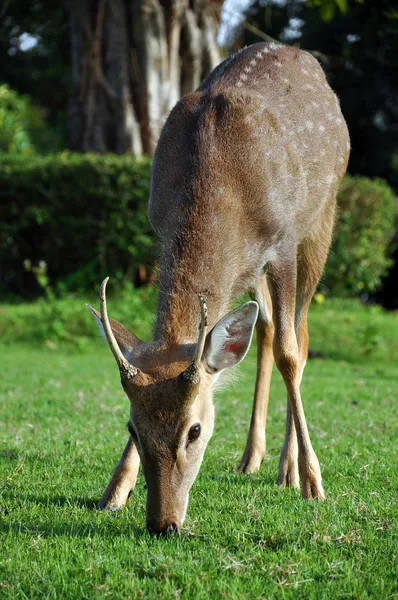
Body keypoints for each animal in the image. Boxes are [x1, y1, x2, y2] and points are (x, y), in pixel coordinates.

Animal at [86, 43, 348, 540]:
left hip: (322, 218)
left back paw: (288, 468)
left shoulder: (283, 243)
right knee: (264, 329)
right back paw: (252, 458)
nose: (163, 523)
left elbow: (290, 354)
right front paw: (114, 490)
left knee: (299, 339)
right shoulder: (161, 228)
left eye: (195, 431)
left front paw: (313, 480)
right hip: (254, 272)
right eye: (131, 428)